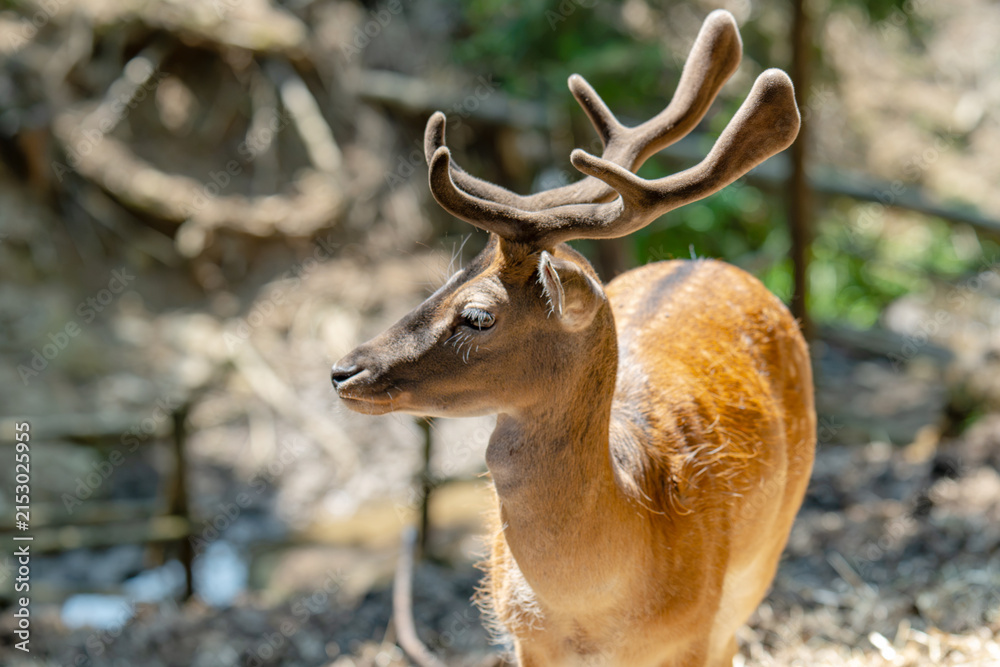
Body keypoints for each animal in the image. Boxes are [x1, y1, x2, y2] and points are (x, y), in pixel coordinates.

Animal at [330, 9, 816, 667]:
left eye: (478, 316)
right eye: (445, 280)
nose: (344, 369)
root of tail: (709, 262)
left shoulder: (693, 632)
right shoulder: (523, 637)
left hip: (763, 557)